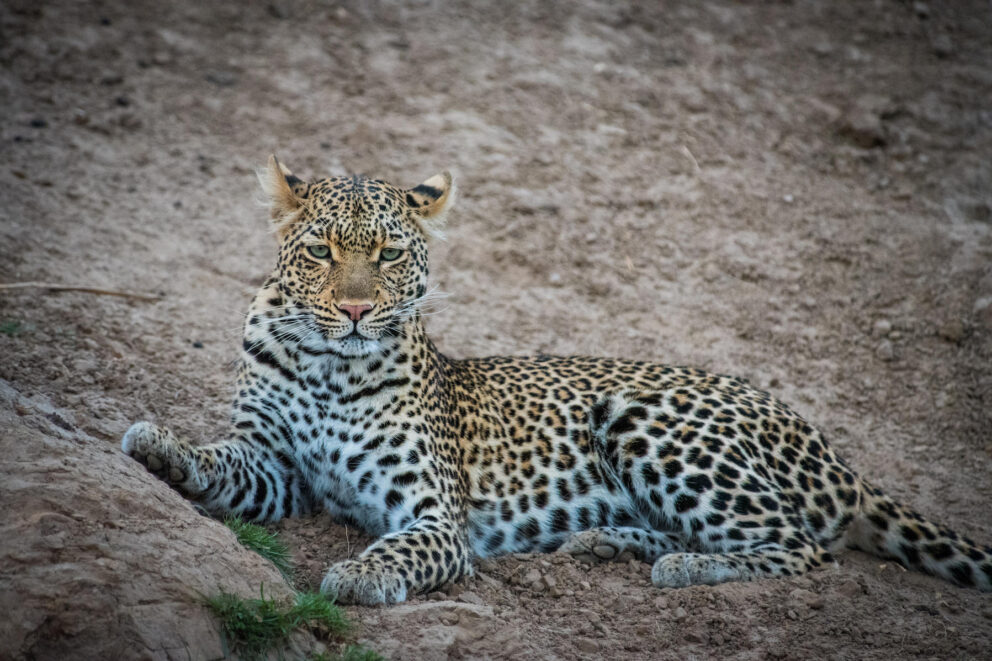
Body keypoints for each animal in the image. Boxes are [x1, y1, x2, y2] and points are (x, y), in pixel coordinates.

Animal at [122, 156, 992, 604]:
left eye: (390, 254)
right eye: (320, 251)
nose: (359, 309)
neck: (325, 365)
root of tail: (837, 454)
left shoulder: (434, 516)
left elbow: (405, 547)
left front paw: (360, 573)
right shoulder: (274, 464)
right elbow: (220, 460)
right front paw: (158, 444)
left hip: (648, 416)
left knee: (800, 549)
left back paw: (685, 564)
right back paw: (609, 541)